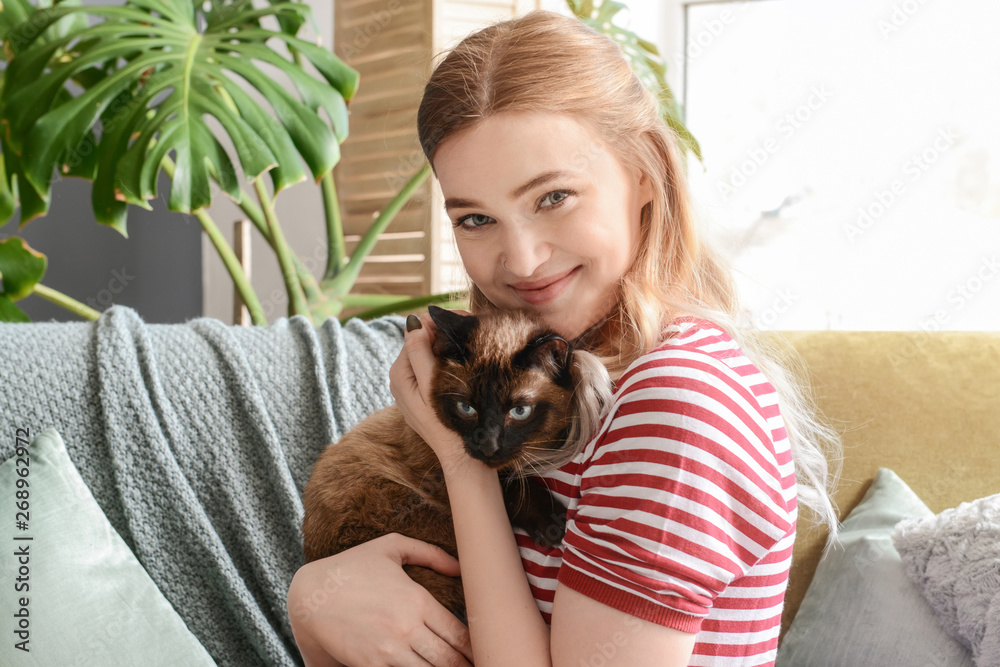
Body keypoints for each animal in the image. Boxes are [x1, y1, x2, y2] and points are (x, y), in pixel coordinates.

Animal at [298, 306, 608, 620]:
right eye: (466, 408)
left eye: (519, 411)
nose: (488, 445)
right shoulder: (443, 474)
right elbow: (517, 491)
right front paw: (552, 524)